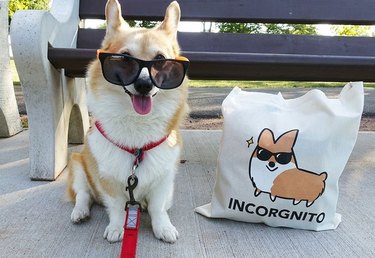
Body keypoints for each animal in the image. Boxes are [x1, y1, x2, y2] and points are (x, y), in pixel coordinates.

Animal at [66, 0, 189, 244]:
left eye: (160, 60)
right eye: (124, 58)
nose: (144, 85)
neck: (137, 125)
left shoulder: (164, 179)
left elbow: (159, 207)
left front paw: (163, 227)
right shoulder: (109, 179)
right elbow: (116, 207)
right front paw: (117, 228)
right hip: (77, 164)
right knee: (83, 194)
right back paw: (80, 212)